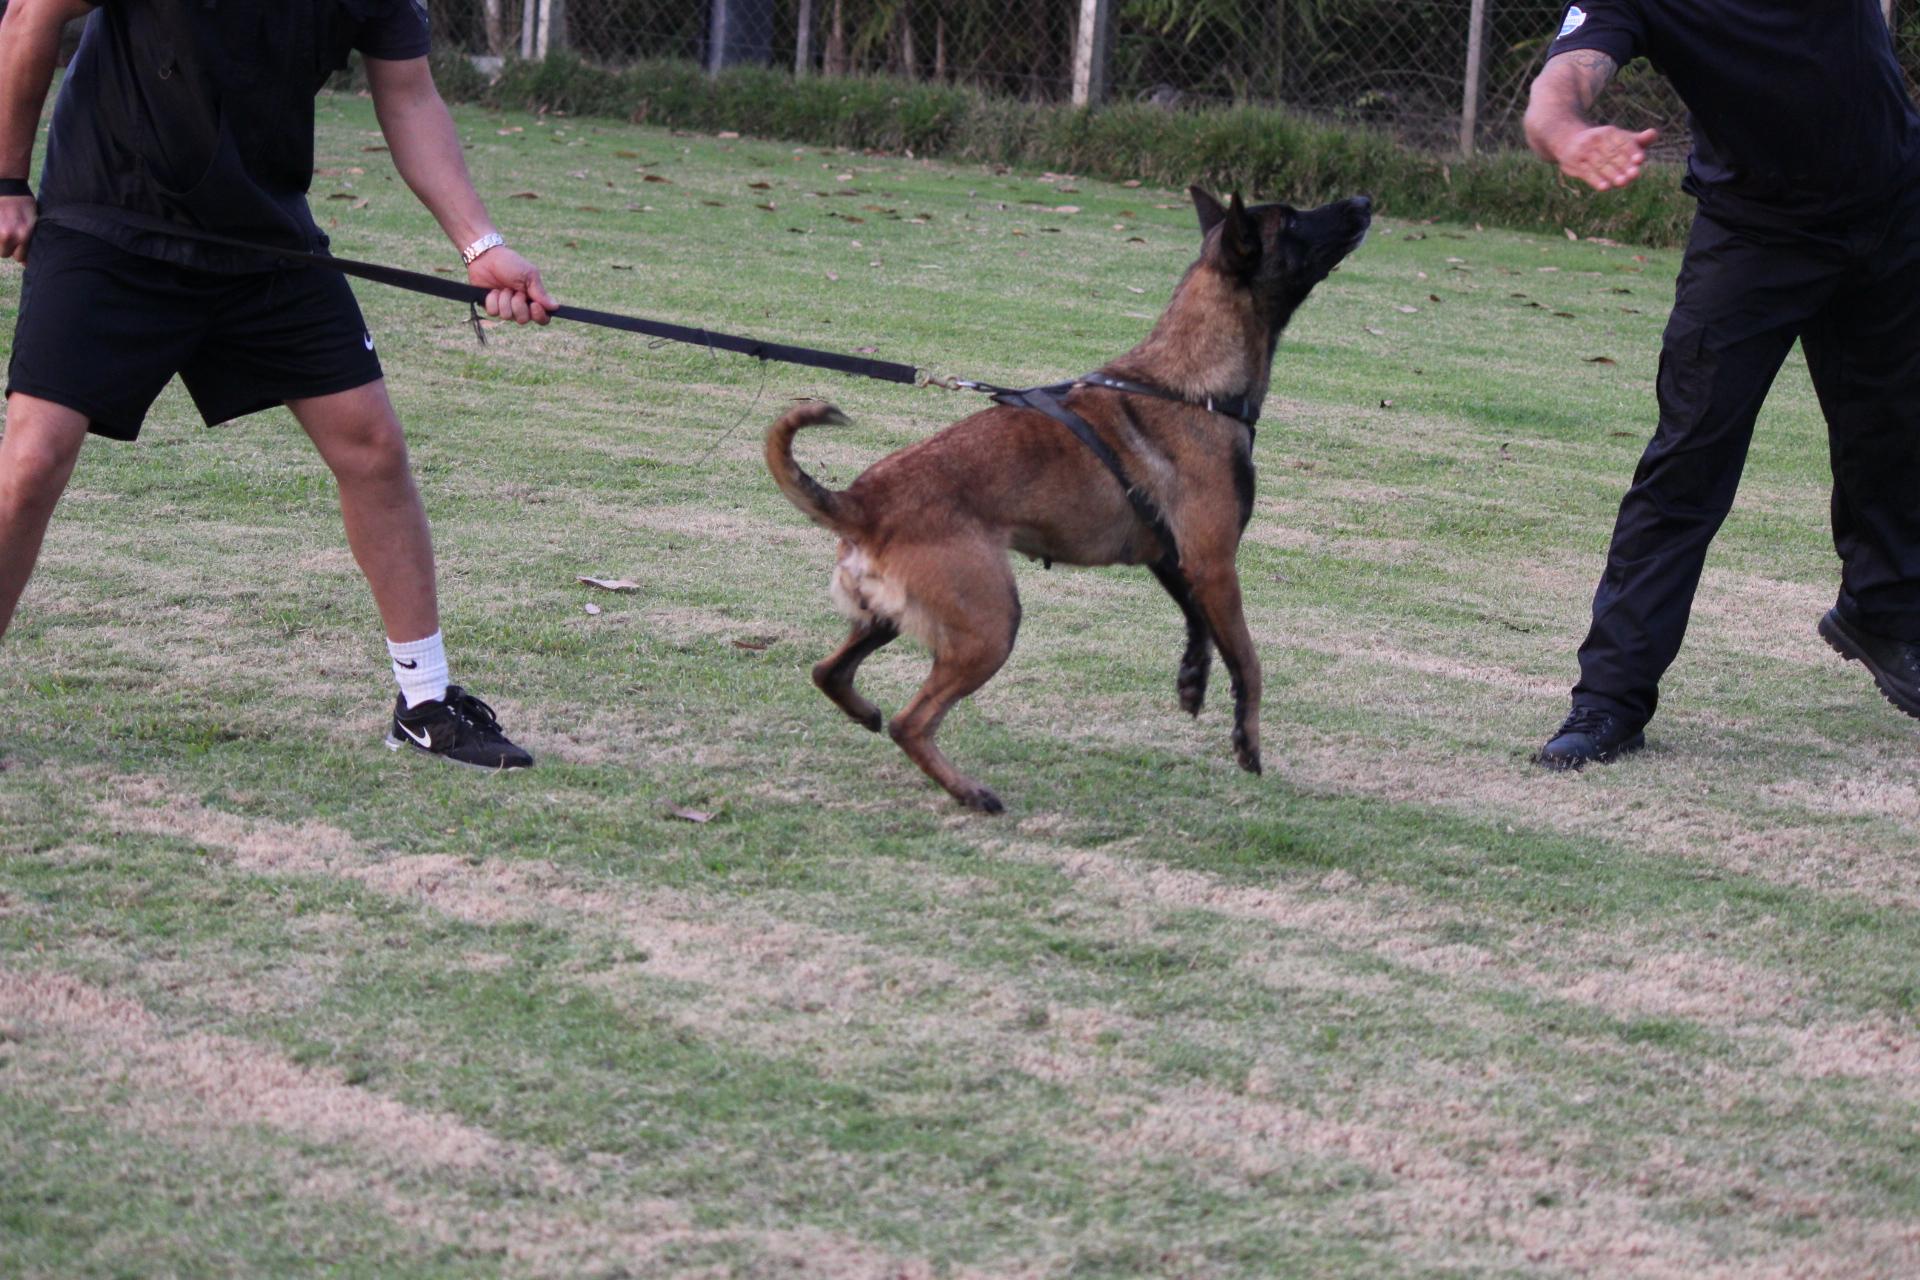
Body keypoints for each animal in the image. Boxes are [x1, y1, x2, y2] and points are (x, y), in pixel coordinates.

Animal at [764, 188, 1367, 809]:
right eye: (1292, 219)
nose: (1364, 200)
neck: (1188, 384)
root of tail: (861, 501)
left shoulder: (1175, 558)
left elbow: (1196, 621)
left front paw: (1193, 678)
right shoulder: (1215, 564)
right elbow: (1247, 659)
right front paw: (1246, 738)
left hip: (892, 617)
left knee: (828, 673)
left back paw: (867, 715)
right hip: (991, 626)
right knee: (912, 721)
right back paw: (967, 790)